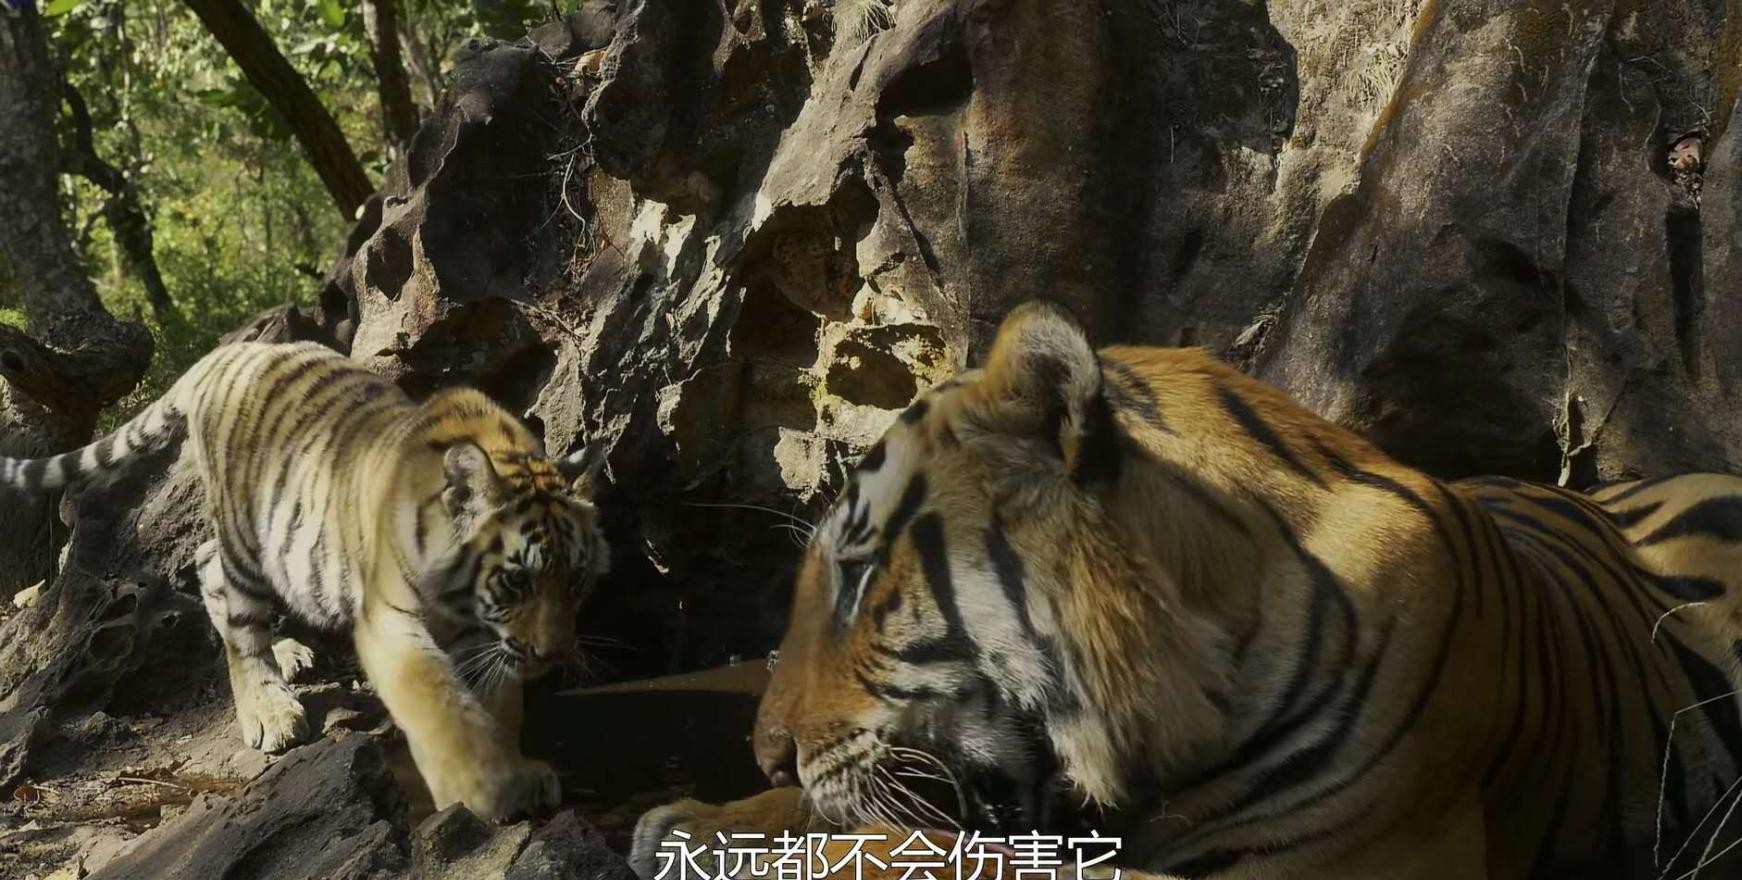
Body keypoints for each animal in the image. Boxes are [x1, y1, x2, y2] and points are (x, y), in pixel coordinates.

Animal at [0, 341, 609, 822]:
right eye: (517, 582)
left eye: (576, 580)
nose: (555, 654)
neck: (466, 607)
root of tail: (225, 352)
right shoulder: (390, 621)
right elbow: (441, 707)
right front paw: (487, 793)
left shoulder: (486, 640)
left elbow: (497, 708)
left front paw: (518, 773)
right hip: (246, 532)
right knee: (233, 607)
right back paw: (269, 709)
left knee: (205, 560)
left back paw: (290, 653)